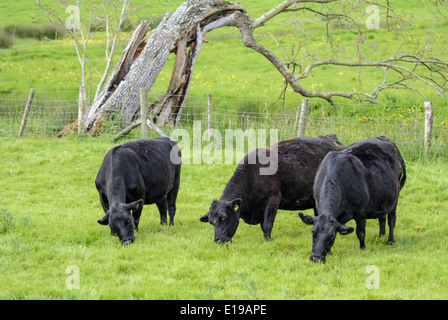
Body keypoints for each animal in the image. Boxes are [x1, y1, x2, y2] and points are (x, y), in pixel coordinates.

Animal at [201, 135, 344, 242]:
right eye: (211, 222)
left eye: (224, 218)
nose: (218, 240)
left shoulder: (273, 199)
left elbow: (267, 224)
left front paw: (268, 241)